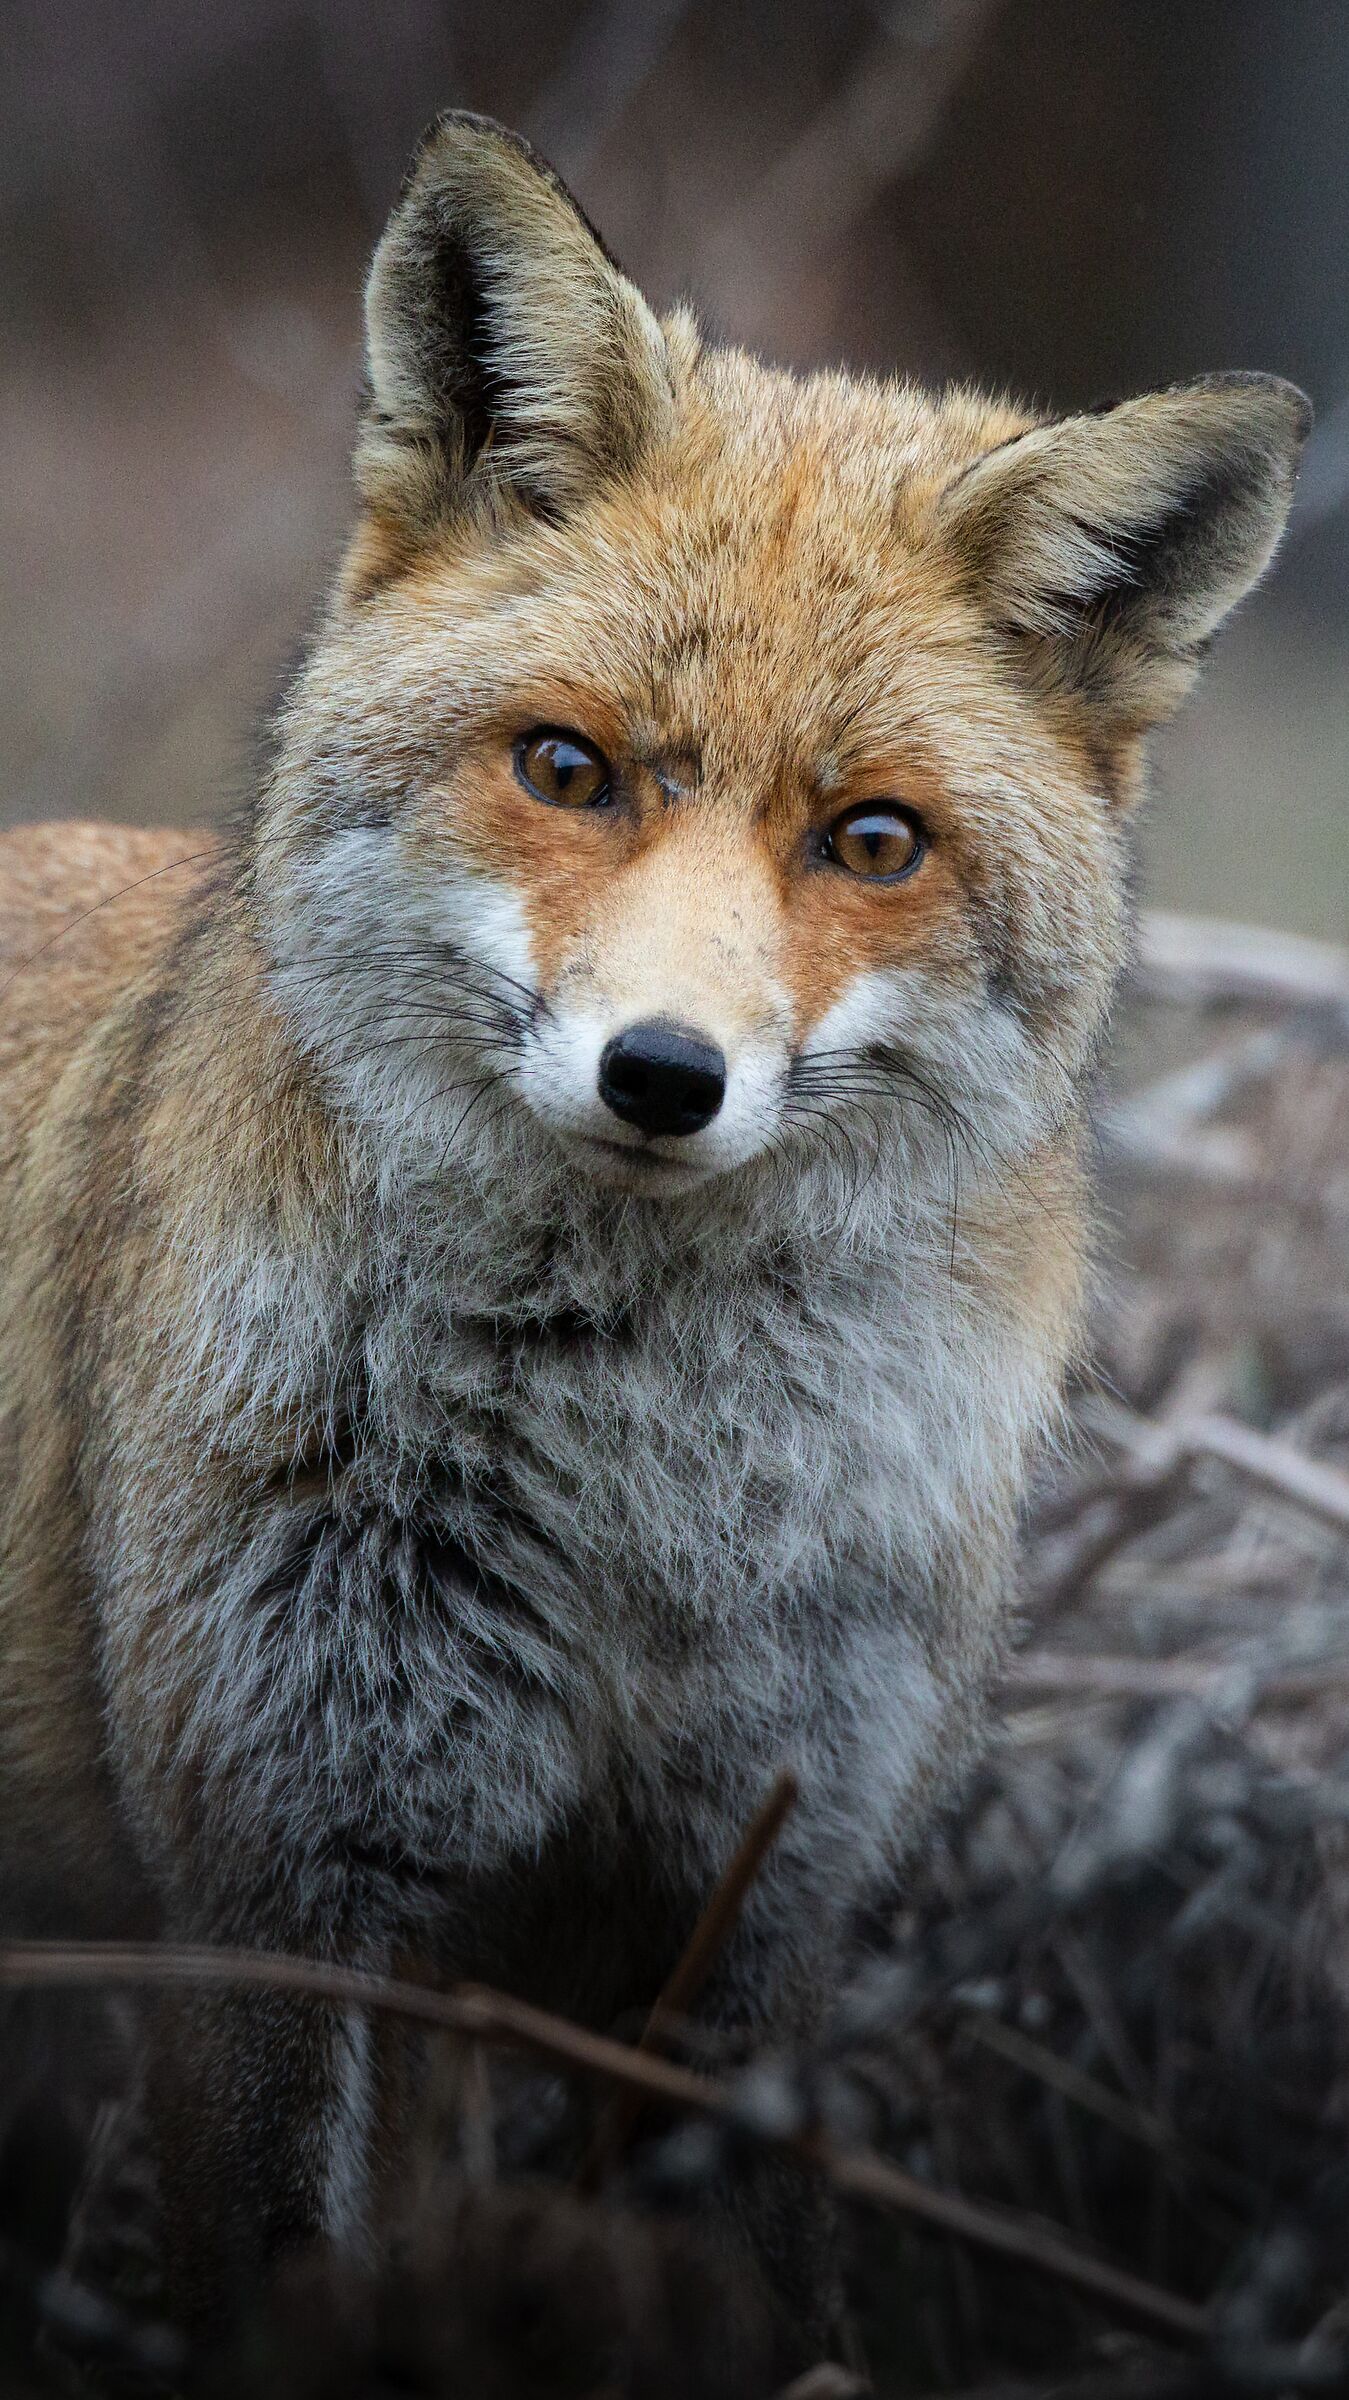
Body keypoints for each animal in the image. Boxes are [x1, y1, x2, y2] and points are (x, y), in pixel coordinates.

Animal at [0, 109, 1309, 2357]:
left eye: (868, 839)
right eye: (567, 767)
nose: (662, 1076)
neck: (634, 1501)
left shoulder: (750, 1912)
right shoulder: (266, 1898)